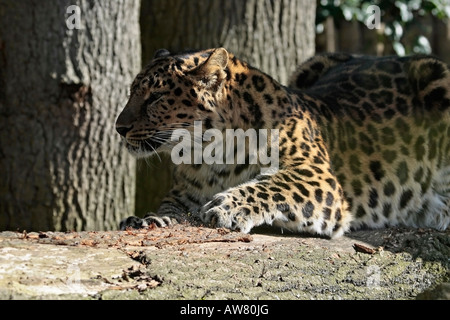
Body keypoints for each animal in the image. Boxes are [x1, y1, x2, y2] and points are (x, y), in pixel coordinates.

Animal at [116, 47, 450, 238]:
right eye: (132, 91)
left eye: (156, 97)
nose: (119, 127)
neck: (207, 153)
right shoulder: (184, 196)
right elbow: (170, 208)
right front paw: (149, 219)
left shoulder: (317, 175)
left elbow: (272, 184)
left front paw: (227, 206)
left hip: (437, 74)